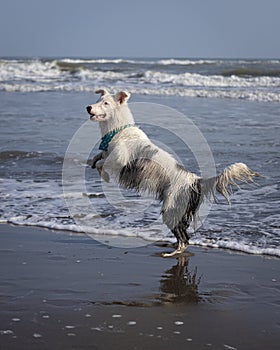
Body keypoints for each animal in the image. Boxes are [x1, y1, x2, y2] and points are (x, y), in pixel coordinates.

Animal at [86, 88, 260, 258]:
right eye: (97, 101)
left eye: (106, 103)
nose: (88, 107)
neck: (118, 131)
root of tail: (195, 181)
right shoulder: (107, 154)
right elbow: (98, 157)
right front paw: (93, 163)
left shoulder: (119, 161)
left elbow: (103, 163)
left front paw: (103, 175)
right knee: (184, 235)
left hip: (171, 209)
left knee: (184, 238)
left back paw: (173, 252)